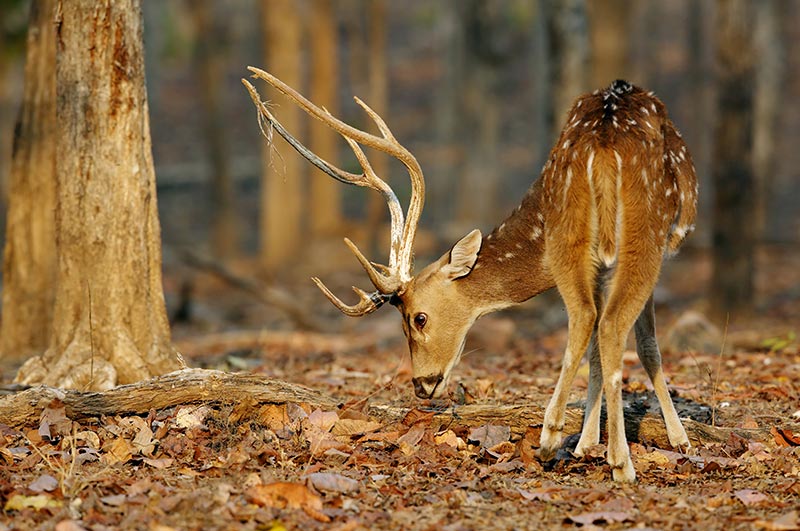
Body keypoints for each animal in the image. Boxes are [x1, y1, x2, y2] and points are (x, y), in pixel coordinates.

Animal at [244, 68, 700, 484]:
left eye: (418, 318)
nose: (421, 385)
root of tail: (604, 145)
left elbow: (622, 349)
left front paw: (604, 441)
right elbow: (633, 346)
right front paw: (661, 439)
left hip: (599, 234)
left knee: (592, 321)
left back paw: (573, 445)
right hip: (632, 235)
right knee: (601, 323)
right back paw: (594, 454)